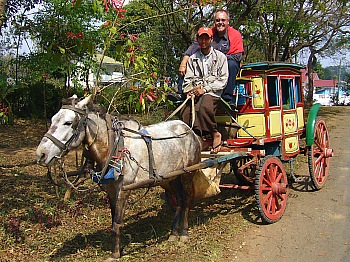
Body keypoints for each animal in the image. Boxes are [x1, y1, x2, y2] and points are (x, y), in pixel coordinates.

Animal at [34, 95, 202, 258]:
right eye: (52, 120)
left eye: (68, 123)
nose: (41, 154)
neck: (114, 147)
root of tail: (189, 130)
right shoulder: (110, 190)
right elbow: (113, 219)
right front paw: (117, 249)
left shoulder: (123, 190)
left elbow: (117, 223)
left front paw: (115, 254)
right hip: (169, 179)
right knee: (179, 201)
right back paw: (173, 233)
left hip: (187, 175)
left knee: (186, 201)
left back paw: (183, 233)